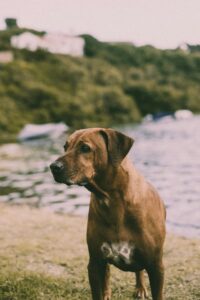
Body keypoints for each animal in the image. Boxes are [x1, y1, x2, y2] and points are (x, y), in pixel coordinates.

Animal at [50, 127, 166, 298]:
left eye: (85, 148)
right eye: (65, 147)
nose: (53, 167)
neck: (113, 201)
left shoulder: (156, 265)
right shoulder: (95, 262)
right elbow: (98, 288)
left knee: (139, 271)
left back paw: (140, 288)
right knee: (107, 274)